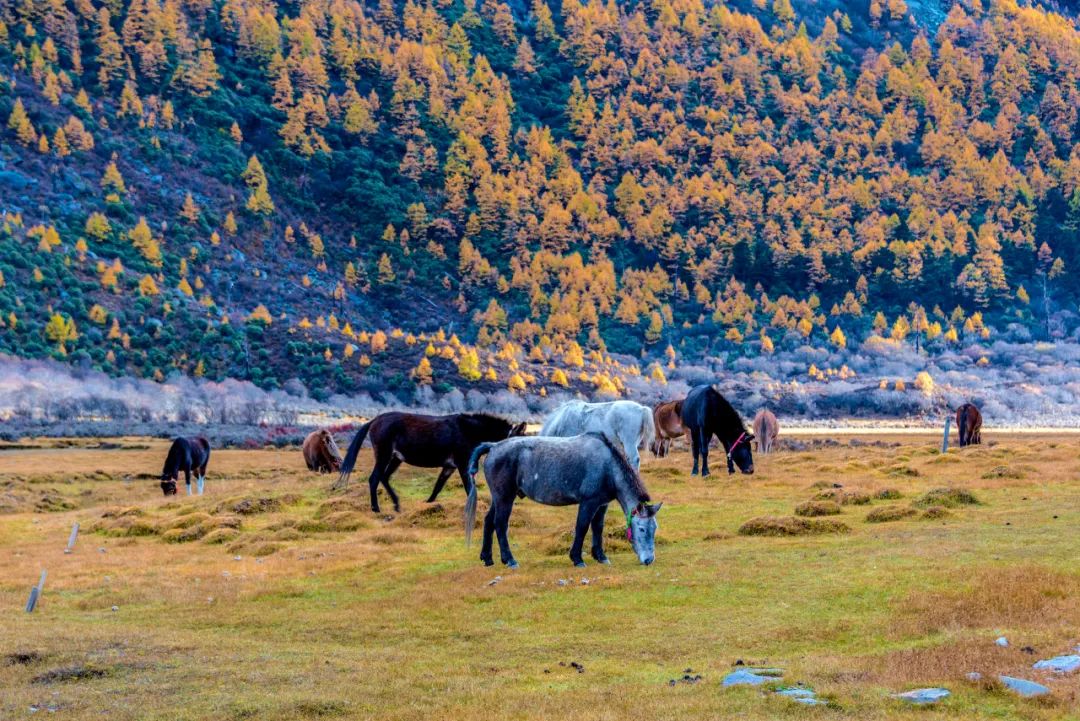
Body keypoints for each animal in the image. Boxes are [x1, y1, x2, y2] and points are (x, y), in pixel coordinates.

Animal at [334, 410, 524, 511]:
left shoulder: (450, 467)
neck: (470, 430)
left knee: (384, 478)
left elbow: (438, 486)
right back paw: (376, 508)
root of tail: (374, 420)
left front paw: (429, 504)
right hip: (384, 455)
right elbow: (469, 488)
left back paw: (397, 505)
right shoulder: (463, 464)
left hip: (396, 458)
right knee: (374, 478)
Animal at [468, 433, 660, 569]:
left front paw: (600, 556)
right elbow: (582, 527)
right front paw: (577, 558)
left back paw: (488, 558)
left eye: (654, 528)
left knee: (488, 522)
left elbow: (598, 528)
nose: (649, 560)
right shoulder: (588, 503)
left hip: (499, 499)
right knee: (500, 525)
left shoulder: (601, 504)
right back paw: (510, 560)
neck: (608, 467)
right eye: (642, 529)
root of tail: (493, 446)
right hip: (505, 498)